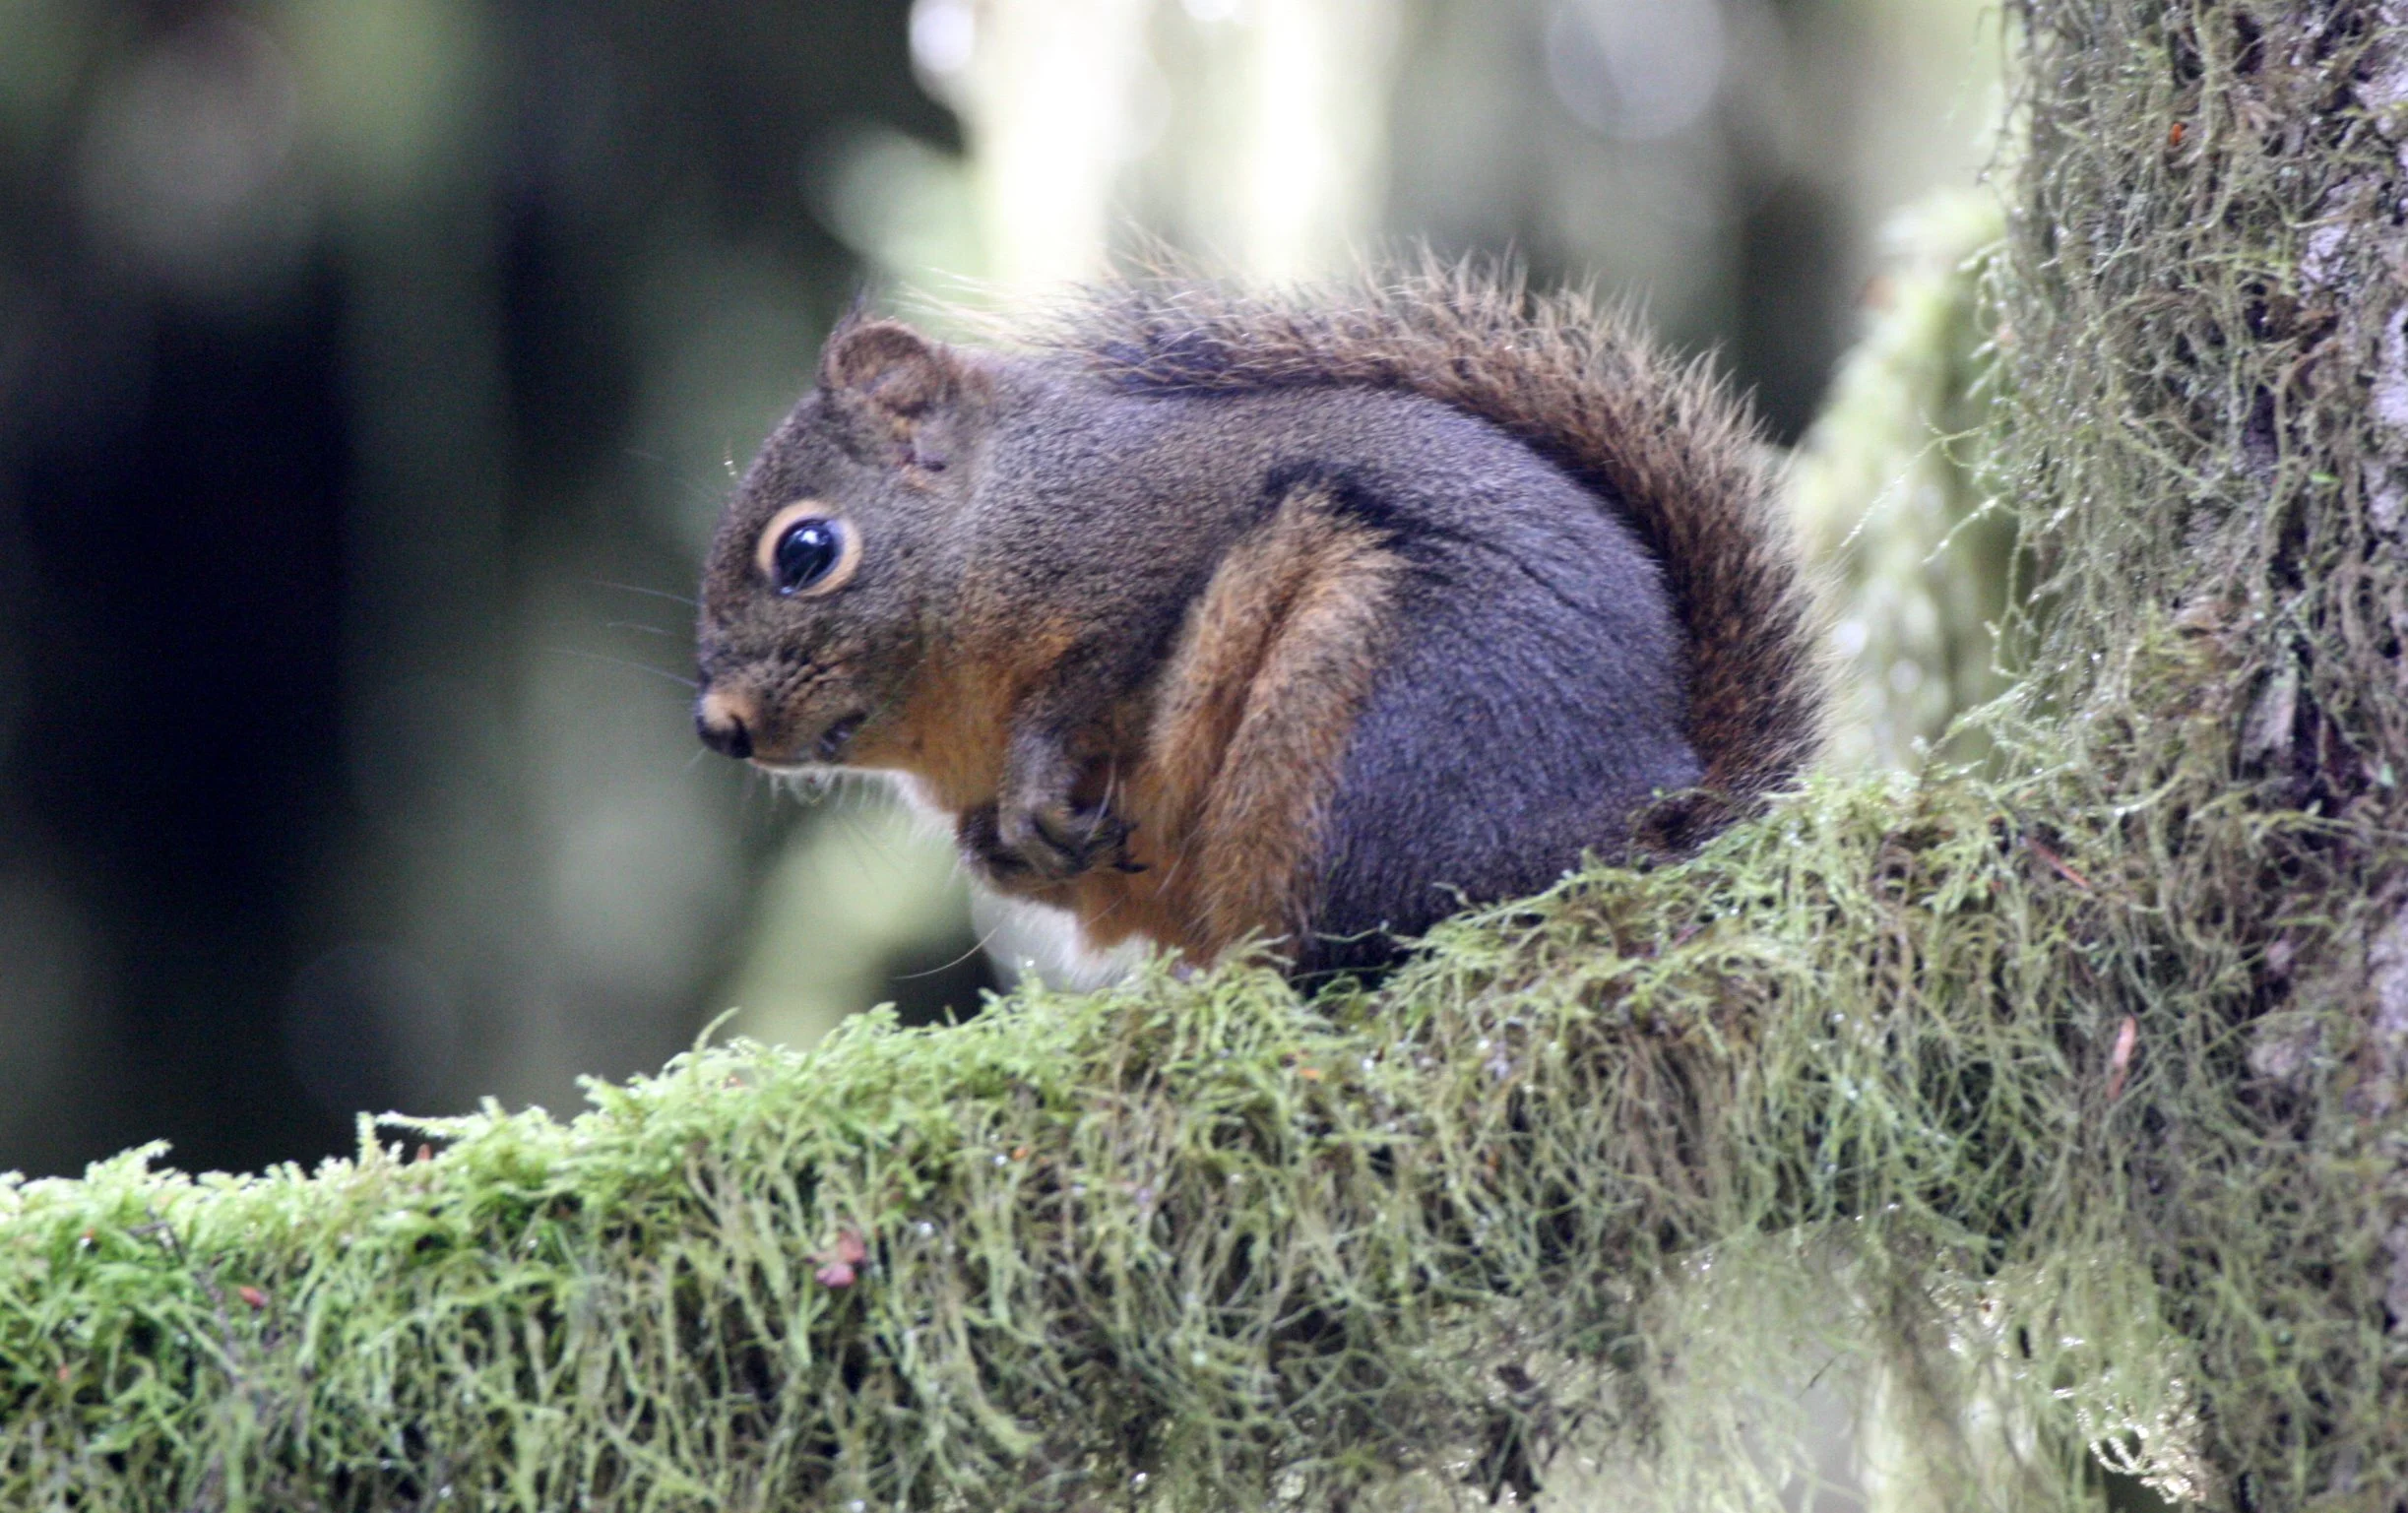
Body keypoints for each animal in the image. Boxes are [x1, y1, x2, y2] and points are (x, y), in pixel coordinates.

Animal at [693, 265, 1823, 977]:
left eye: (805, 551)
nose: (719, 725)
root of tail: (1649, 817)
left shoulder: (1146, 546)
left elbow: (1084, 682)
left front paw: (1032, 787)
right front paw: (999, 845)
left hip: (1376, 730)